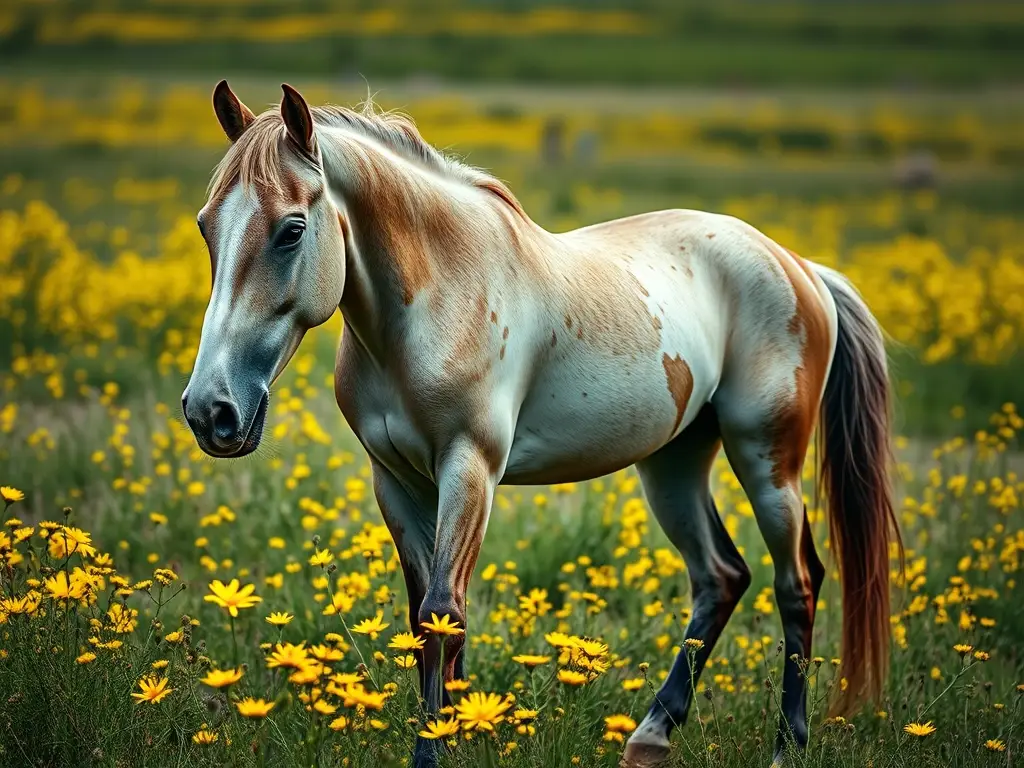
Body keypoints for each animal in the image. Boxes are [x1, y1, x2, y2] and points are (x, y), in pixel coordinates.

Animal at [182, 81, 902, 768]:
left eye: (291, 230)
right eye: (206, 226)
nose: (210, 411)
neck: (436, 297)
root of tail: (798, 266)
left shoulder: (469, 469)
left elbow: (442, 611)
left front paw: (434, 751)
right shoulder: (396, 480)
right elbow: (425, 620)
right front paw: (457, 732)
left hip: (766, 459)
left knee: (797, 581)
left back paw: (786, 745)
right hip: (673, 464)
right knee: (721, 576)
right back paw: (650, 737)